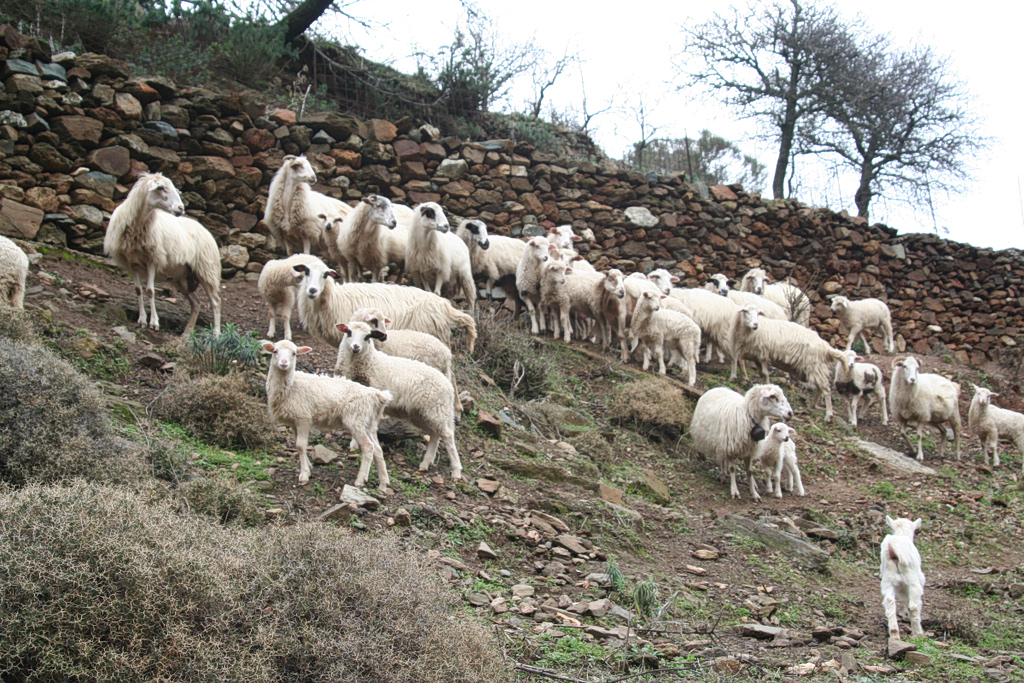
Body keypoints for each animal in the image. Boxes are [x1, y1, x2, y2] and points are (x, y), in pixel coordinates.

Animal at [103, 173, 221, 336]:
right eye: (161, 188)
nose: (181, 208)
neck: (139, 225)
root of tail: (205, 229)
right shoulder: (132, 263)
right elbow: (138, 290)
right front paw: (141, 320)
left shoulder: (153, 259)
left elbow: (150, 291)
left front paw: (153, 322)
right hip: (182, 279)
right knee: (196, 303)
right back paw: (186, 333)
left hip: (207, 270)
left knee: (216, 302)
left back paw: (216, 334)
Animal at [262, 339, 392, 489]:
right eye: (275, 351)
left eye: (294, 353)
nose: (284, 362)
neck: (292, 386)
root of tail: (375, 394)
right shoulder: (294, 421)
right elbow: (298, 444)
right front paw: (309, 466)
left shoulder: (303, 418)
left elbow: (300, 445)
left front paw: (304, 474)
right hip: (369, 422)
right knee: (378, 449)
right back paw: (383, 483)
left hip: (356, 420)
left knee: (368, 447)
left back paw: (360, 480)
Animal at [337, 320, 463, 481]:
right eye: (349, 332)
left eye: (367, 337)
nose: (355, 347)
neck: (371, 362)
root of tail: (448, 385)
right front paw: (354, 443)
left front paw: (354, 443)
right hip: (419, 413)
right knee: (435, 433)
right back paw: (425, 463)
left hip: (437, 409)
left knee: (447, 435)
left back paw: (456, 471)